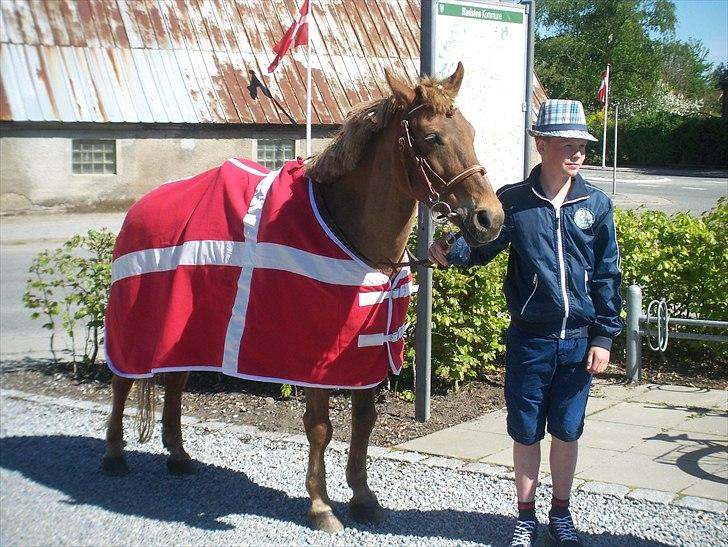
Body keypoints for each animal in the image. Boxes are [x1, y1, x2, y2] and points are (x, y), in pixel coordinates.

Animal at [101, 62, 500, 532]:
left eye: (470, 132)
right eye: (433, 137)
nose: (491, 218)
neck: (347, 231)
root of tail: (139, 208)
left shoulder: (363, 356)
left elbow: (364, 421)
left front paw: (363, 496)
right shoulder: (312, 359)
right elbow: (320, 427)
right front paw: (321, 505)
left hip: (186, 333)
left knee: (176, 380)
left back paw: (178, 454)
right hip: (134, 330)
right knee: (122, 382)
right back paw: (113, 454)